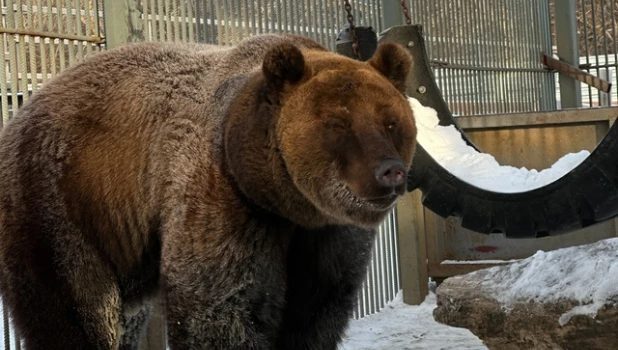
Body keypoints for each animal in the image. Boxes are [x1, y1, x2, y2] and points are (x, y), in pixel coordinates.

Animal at [0, 33, 414, 350]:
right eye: (337, 123)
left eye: (391, 122)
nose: (389, 171)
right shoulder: (222, 198)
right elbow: (219, 306)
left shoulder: (326, 235)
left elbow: (316, 308)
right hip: (63, 197)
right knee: (77, 304)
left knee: (126, 316)